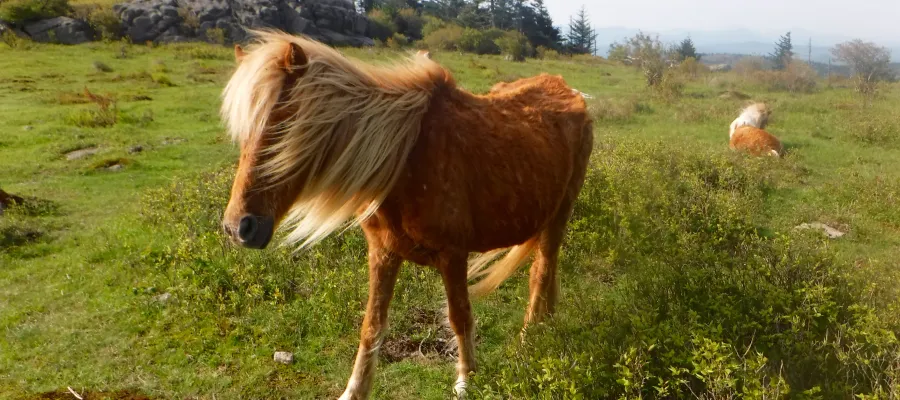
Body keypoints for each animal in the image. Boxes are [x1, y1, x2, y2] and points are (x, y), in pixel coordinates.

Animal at [220, 31, 593, 399]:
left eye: (280, 130)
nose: (239, 227)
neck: (402, 160)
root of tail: (569, 91)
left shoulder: (453, 255)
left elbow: (459, 316)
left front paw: (466, 380)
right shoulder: (383, 252)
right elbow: (372, 325)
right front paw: (354, 389)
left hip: (560, 213)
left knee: (541, 274)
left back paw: (528, 343)